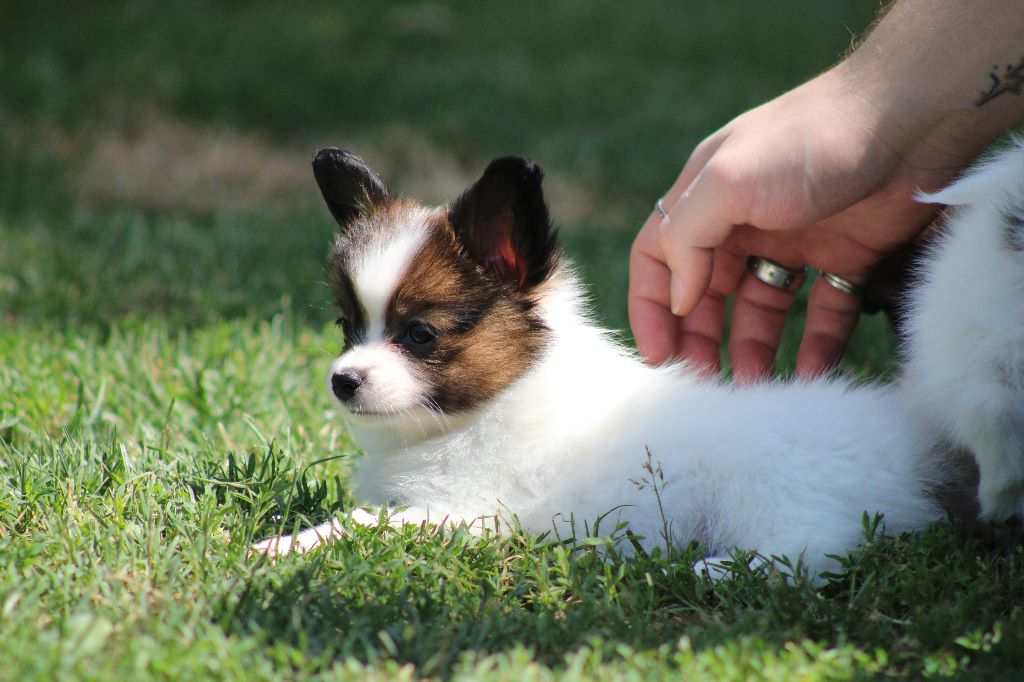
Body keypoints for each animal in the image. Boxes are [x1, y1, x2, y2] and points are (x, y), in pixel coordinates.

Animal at [253, 140, 1024, 577]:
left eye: (418, 334)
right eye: (346, 325)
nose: (343, 381)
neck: (489, 408)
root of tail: (922, 430)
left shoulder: (470, 512)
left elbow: (365, 523)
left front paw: (280, 548)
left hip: (775, 493)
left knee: (814, 552)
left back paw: (715, 572)